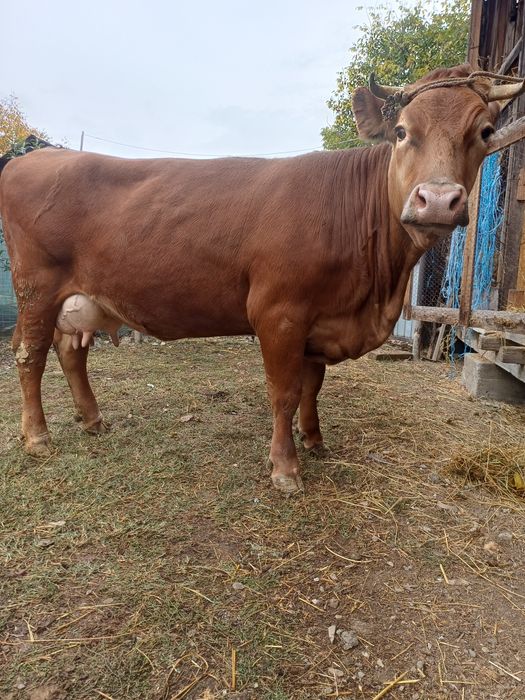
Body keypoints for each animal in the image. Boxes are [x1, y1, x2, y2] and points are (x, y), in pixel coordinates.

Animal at [0, 64, 523, 493]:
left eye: (484, 131)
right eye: (401, 131)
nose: (437, 200)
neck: (376, 289)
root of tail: (33, 158)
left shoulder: (319, 322)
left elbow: (312, 386)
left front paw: (314, 440)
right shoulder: (279, 313)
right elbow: (284, 392)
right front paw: (286, 469)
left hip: (79, 298)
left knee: (71, 353)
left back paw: (92, 421)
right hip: (36, 288)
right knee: (30, 354)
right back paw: (38, 437)